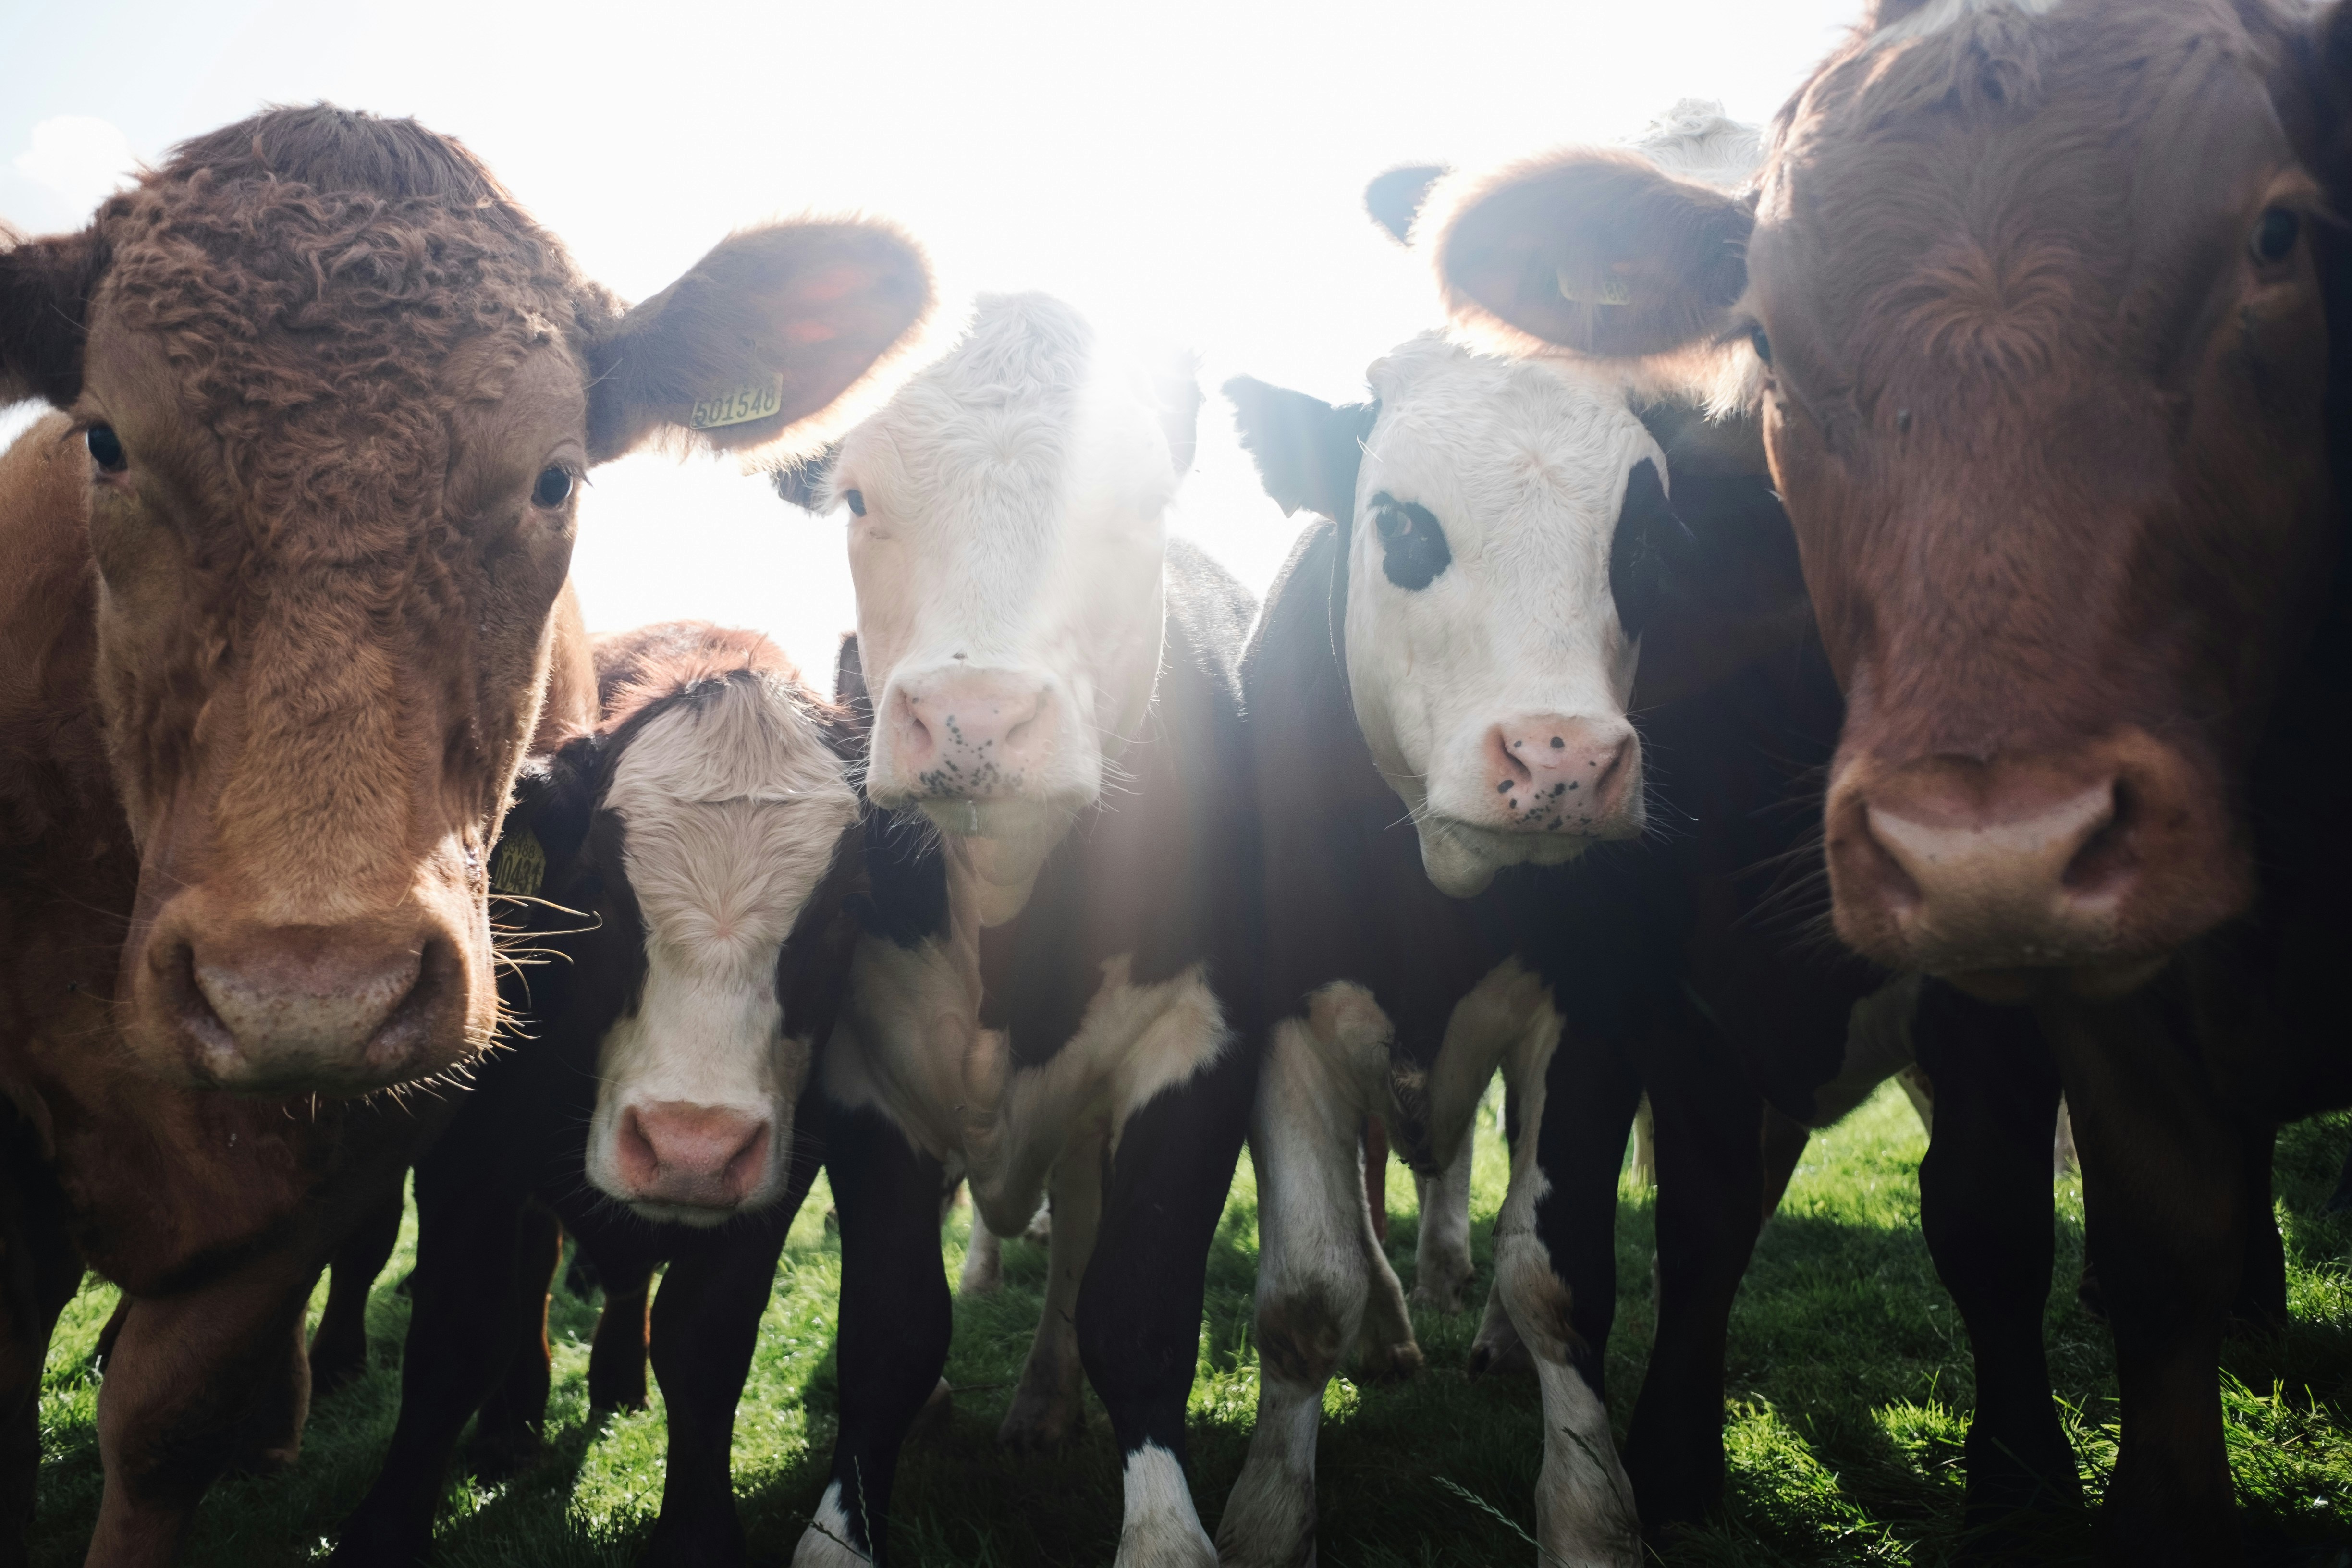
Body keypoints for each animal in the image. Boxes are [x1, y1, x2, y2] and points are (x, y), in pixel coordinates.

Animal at [327, 623, 865, 1567]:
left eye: (838, 911)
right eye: (602, 893)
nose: (690, 1147)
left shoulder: (782, 1171)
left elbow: (707, 1341)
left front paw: (694, 1535)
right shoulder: (474, 1153)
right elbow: (459, 1329)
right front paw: (384, 1530)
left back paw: (614, 1378)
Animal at [779, 293, 1258, 1567]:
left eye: (1138, 498)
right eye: (857, 497)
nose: (974, 717)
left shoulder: (1196, 1044)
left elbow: (1136, 1306)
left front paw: (1162, 1533)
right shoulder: (864, 1073)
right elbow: (888, 1331)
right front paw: (838, 1529)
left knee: (1080, 1246)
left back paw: (1043, 1399)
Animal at [1423, 3, 2352, 1560]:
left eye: (2278, 237)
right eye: (1761, 326)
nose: (1993, 848)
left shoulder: (2001, 1002)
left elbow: (1991, 1216)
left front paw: (2023, 1475)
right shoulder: (1684, 975)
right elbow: (1711, 1209)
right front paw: (1671, 1457)